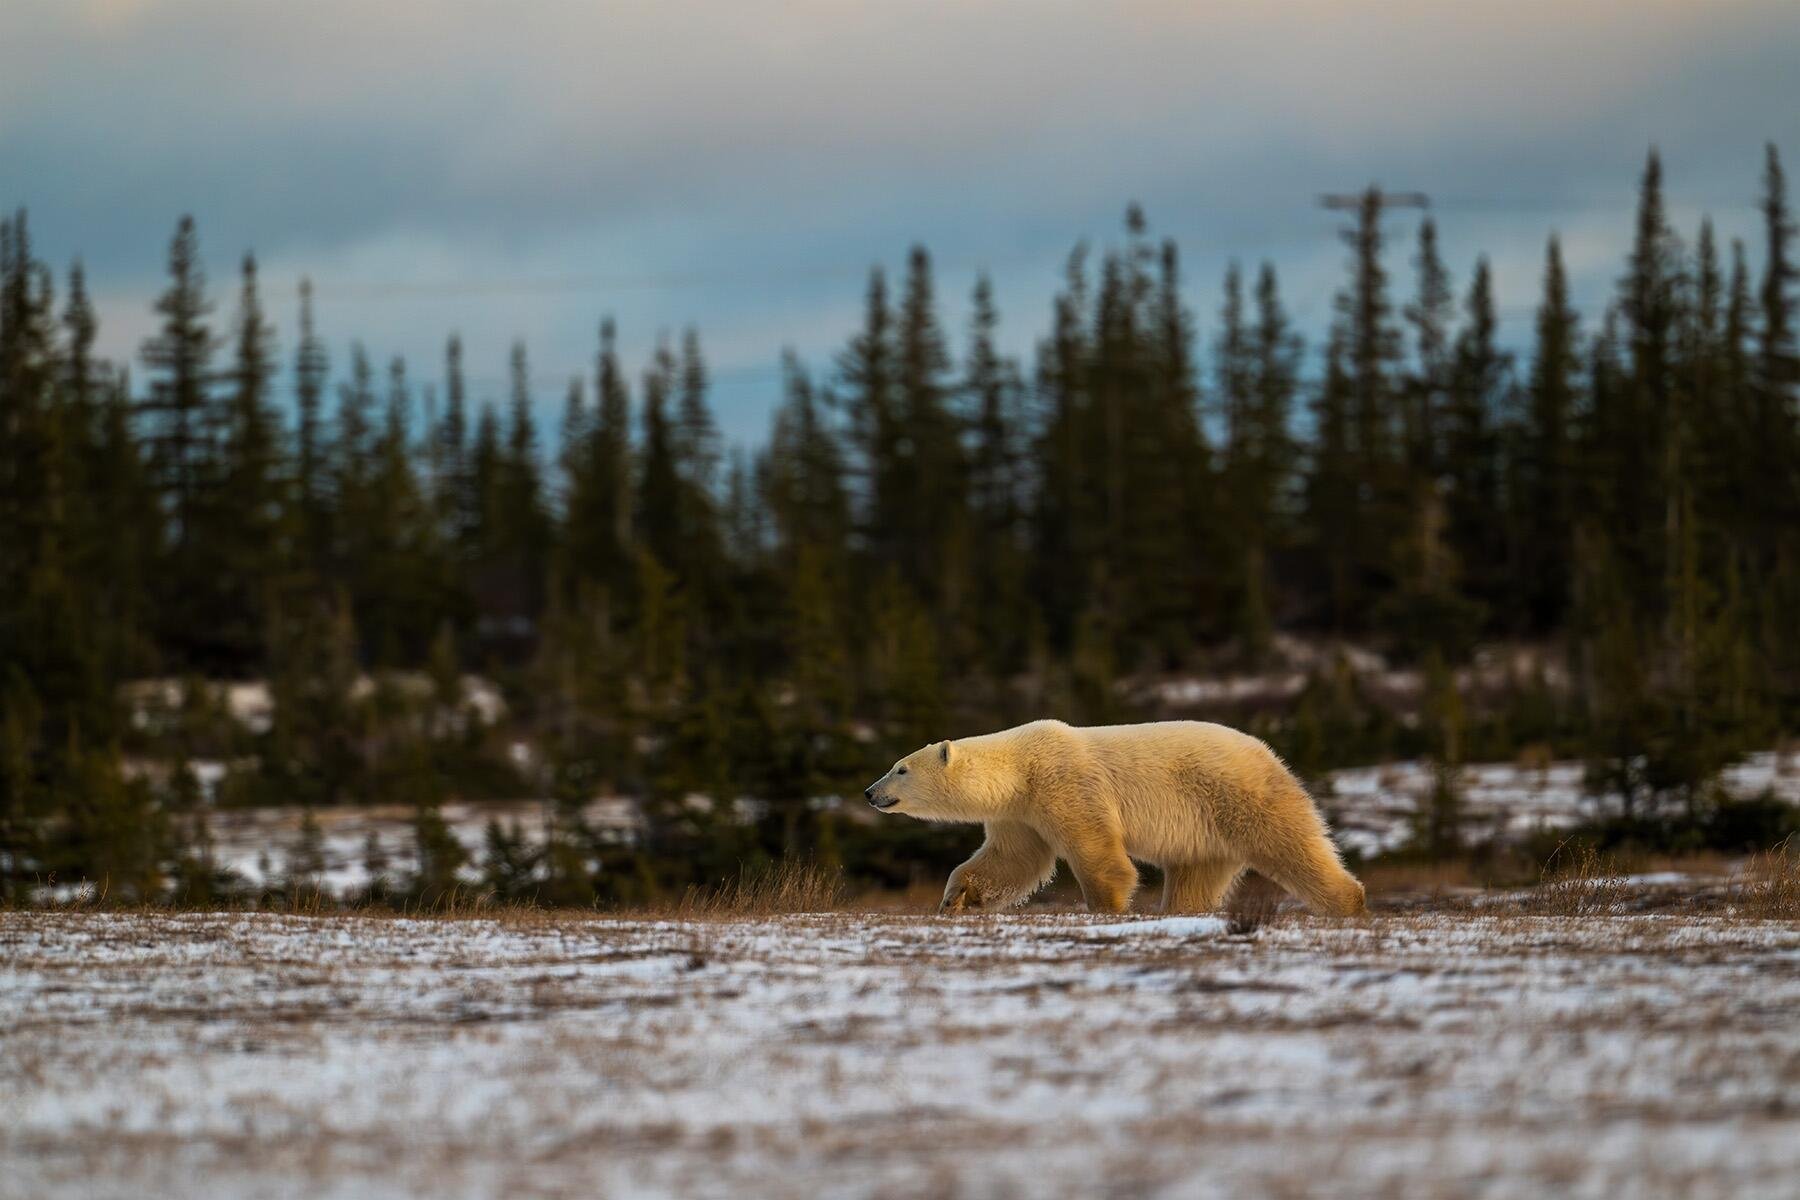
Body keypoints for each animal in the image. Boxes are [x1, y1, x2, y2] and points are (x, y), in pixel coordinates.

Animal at [863, 718, 1365, 916]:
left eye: (900, 767)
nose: (870, 792)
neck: (1020, 766)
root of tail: (1271, 754)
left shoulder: (1064, 783)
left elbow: (1093, 846)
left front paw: (1108, 904)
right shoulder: (1021, 814)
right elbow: (1011, 860)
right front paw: (956, 898)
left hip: (1239, 797)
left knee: (1293, 845)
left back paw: (1349, 902)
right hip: (1205, 832)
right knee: (1195, 876)